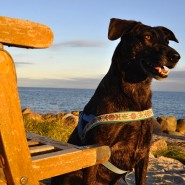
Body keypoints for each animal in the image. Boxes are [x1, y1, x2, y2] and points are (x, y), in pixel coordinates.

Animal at [51, 18, 181, 184]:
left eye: (167, 41)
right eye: (147, 37)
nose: (176, 56)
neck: (135, 91)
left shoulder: (144, 153)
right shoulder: (97, 151)